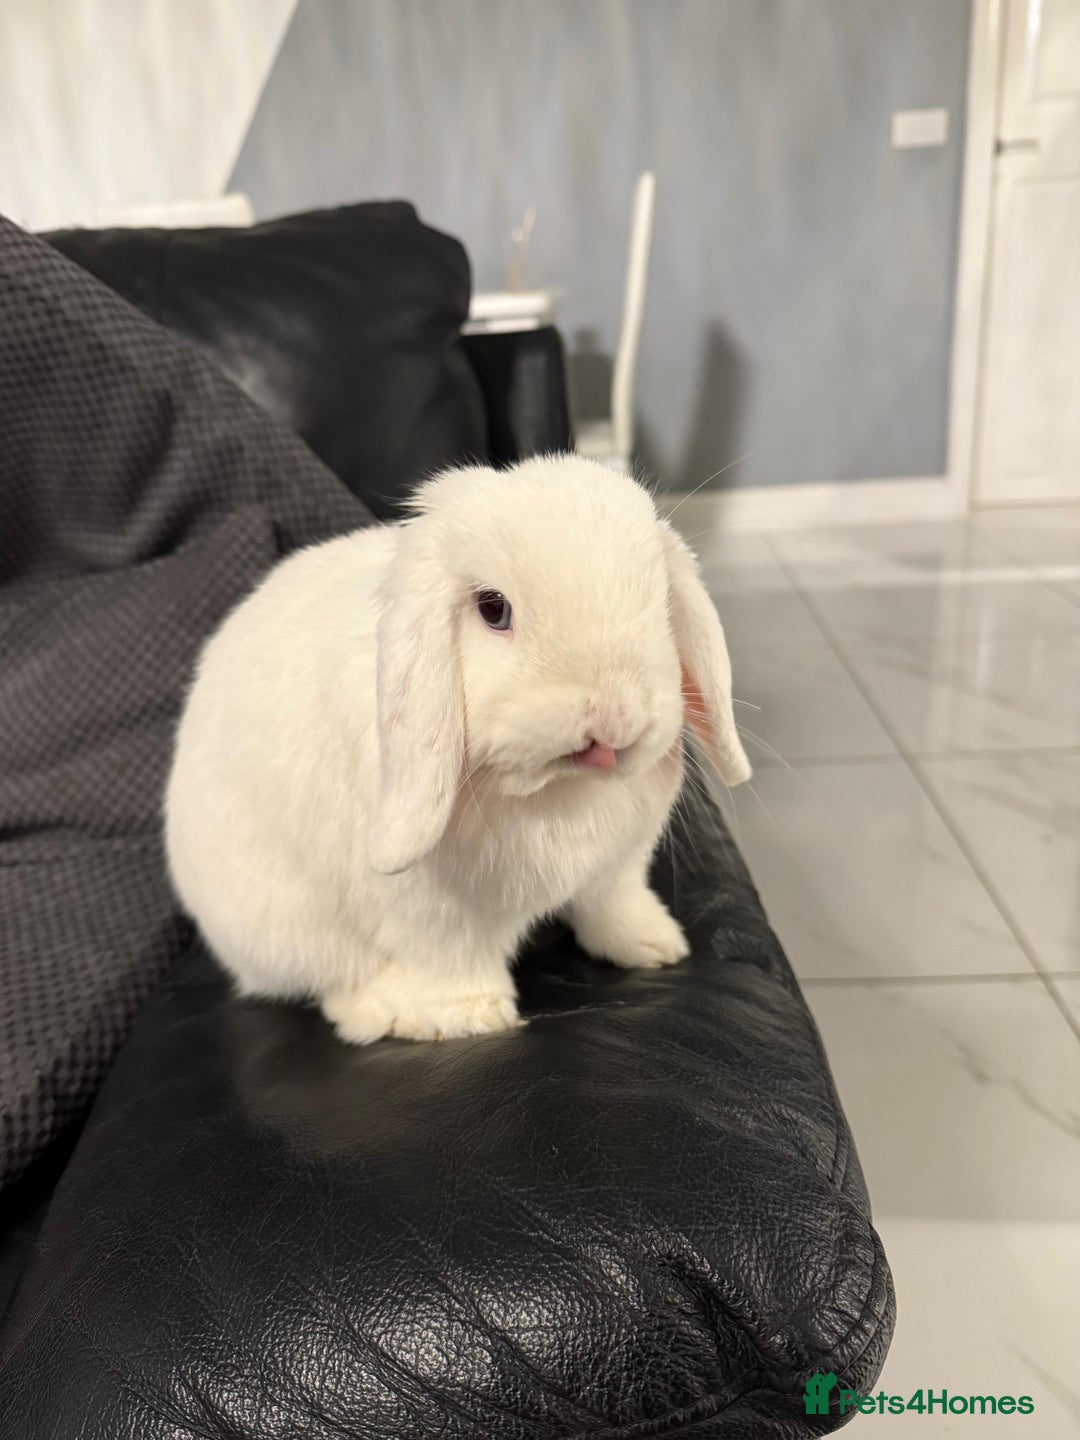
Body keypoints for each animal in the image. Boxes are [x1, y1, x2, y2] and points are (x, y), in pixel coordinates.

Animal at [164, 455, 751, 1044]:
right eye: (493, 609)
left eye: (663, 601)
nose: (613, 723)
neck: (556, 793)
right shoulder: (434, 914)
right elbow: (451, 958)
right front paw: (474, 1016)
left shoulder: (617, 869)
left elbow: (614, 904)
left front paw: (657, 946)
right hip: (285, 927)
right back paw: (384, 1011)